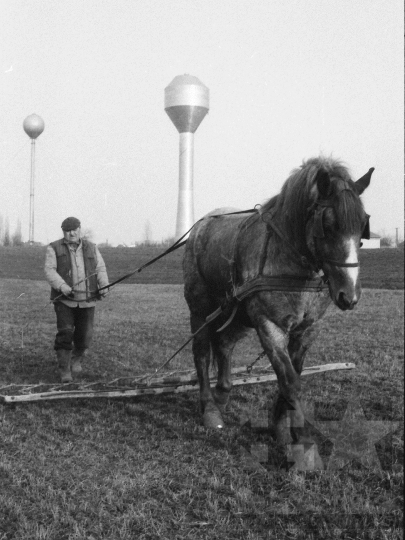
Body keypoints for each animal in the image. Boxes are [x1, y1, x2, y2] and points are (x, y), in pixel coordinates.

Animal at [183, 154, 372, 450]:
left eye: (363, 225)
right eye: (328, 225)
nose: (349, 295)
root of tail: (201, 225)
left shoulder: (307, 329)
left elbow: (293, 375)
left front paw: (281, 428)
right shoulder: (269, 325)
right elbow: (290, 381)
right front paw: (302, 440)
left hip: (236, 314)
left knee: (224, 345)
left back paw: (223, 395)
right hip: (200, 308)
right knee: (202, 352)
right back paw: (210, 410)